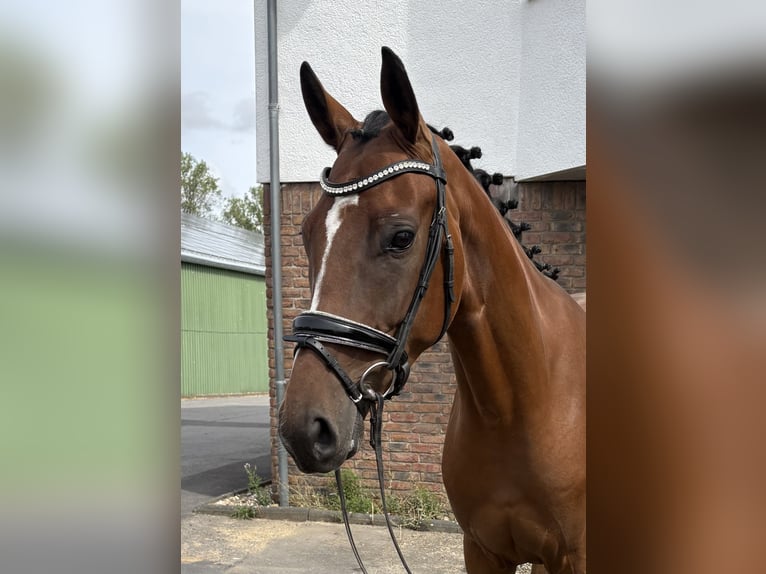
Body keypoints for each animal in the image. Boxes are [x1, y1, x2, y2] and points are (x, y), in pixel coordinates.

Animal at [278, 47, 586, 574]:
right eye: (307, 233)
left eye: (402, 237)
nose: (304, 428)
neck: (522, 403)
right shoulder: (481, 549)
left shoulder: (574, 557)